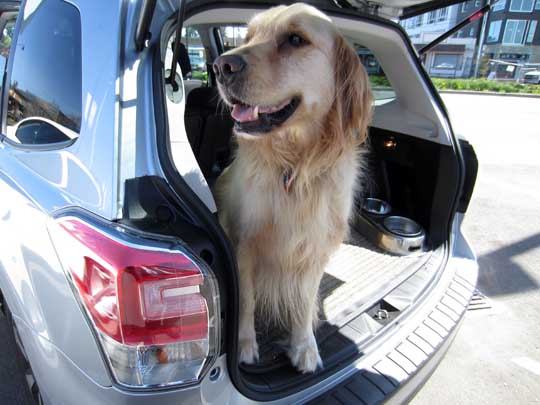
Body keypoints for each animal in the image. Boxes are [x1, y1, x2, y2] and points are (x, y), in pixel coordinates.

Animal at [212, 3, 372, 372]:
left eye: (296, 40)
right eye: (248, 36)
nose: (221, 66)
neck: (295, 166)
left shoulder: (315, 248)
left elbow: (304, 300)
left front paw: (304, 346)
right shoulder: (243, 242)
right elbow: (246, 299)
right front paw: (244, 344)